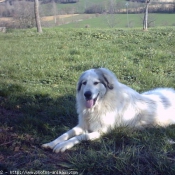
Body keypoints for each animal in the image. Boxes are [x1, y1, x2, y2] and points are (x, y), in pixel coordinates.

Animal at [42, 67, 175, 152]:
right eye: (84, 83)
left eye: (96, 83)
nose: (87, 94)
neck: (100, 104)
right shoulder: (82, 125)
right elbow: (65, 134)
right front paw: (52, 143)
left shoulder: (102, 131)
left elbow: (80, 137)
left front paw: (63, 145)